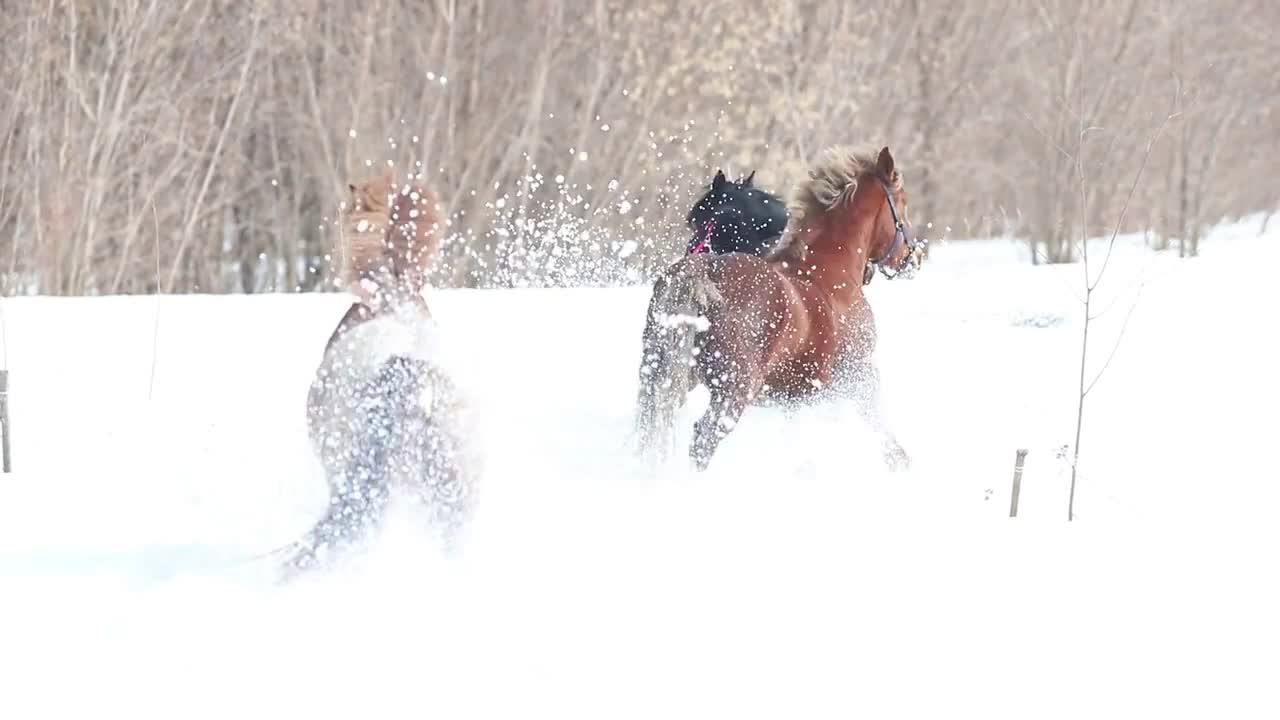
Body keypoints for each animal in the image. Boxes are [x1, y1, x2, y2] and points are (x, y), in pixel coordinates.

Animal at [632, 144, 926, 471]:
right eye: (902, 202)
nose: (913, 257)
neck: (828, 273)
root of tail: (701, 272)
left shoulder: (794, 397)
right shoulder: (858, 375)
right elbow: (879, 423)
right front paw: (901, 462)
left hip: (661, 375)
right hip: (733, 390)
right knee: (703, 440)